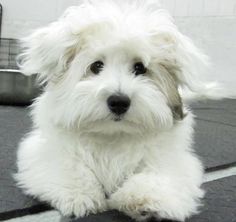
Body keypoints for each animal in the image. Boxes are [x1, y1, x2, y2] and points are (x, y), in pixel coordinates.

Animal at [15, 0, 217, 221]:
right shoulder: (45, 151)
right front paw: (82, 197)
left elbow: (159, 175)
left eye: (140, 68)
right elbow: (69, 166)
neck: (113, 135)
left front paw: (145, 199)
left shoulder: (174, 161)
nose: (119, 101)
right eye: (96, 66)